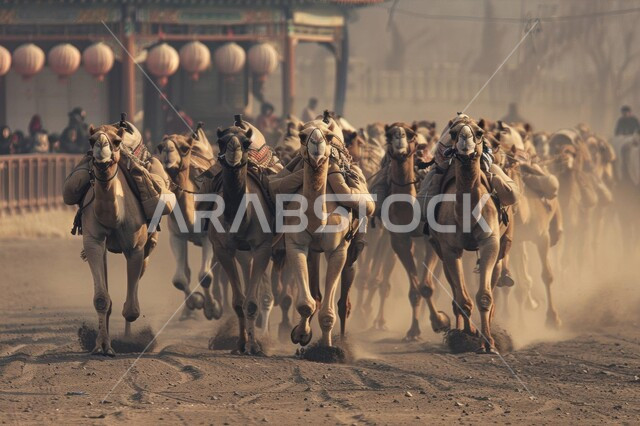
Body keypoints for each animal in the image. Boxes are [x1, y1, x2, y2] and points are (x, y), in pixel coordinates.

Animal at [81, 124, 157, 356]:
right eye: (91, 140)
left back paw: (128, 337)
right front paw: (102, 346)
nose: (101, 148)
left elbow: (131, 310)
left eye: (116, 141)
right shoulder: (93, 241)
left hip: (147, 249)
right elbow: (101, 299)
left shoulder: (135, 248)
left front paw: (127, 342)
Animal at [157, 124, 222, 321]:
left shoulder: (208, 236)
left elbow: (205, 276)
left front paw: (213, 309)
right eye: (160, 146)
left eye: (184, 148)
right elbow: (180, 279)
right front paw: (196, 303)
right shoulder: (176, 236)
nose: (168, 152)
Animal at [207, 123, 275, 355]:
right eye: (220, 141)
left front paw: (254, 346)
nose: (233, 154)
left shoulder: (263, 247)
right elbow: (238, 302)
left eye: (245, 143)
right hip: (242, 253)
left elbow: (252, 303)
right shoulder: (222, 249)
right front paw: (240, 344)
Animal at [426, 118, 511, 353]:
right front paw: (466, 336)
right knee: (455, 291)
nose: (465, 147)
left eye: (480, 132)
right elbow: (463, 299)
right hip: (439, 249)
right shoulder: (449, 248)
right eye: (454, 133)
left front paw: (488, 342)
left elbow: (484, 296)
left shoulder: (490, 242)